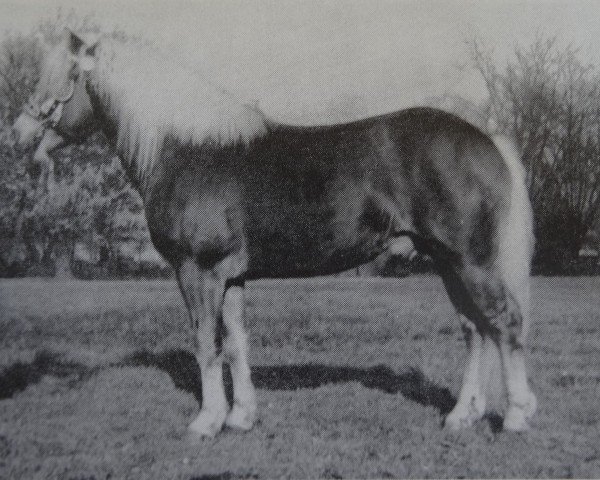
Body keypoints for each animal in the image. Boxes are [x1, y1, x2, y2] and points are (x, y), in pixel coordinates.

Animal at [11, 29, 536, 438]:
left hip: (470, 261)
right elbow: (236, 342)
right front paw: (241, 417)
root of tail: (484, 136)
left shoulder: (197, 271)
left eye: (62, 78)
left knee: (504, 321)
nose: (18, 133)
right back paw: (461, 416)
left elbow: (205, 342)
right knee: (475, 328)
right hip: (449, 262)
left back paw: (514, 416)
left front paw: (206, 422)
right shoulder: (230, 277)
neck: (185, 149)